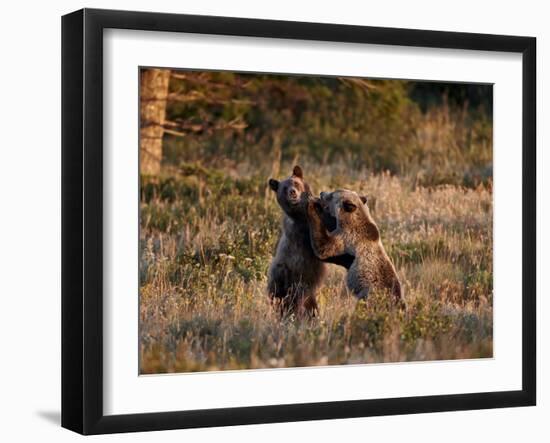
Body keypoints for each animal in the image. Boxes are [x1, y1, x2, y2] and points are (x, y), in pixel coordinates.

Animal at [270, 165, 356, 318]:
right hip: (284, 277)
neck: (301, 214)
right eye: (284, 188)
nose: (292, 192)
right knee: (286, 299)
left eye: (296, 183)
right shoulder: (301, 232)